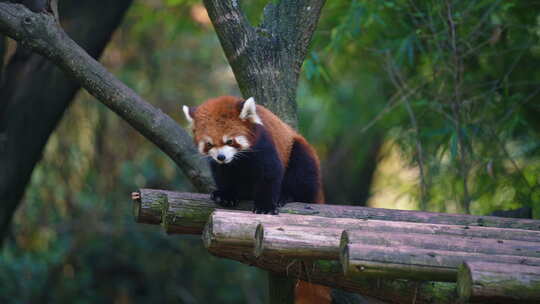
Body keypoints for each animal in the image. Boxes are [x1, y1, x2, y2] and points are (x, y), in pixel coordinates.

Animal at [184, 96, 332, 304]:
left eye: (230, 141)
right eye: (209, 144)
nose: (221, 157)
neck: (238, 159)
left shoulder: (264, 145)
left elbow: (270, 173)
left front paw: (265, 206)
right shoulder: (223, 166)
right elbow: (223, 175)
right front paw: (226, 195)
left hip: (303, 155)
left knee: (302, 169)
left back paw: (286, 196)